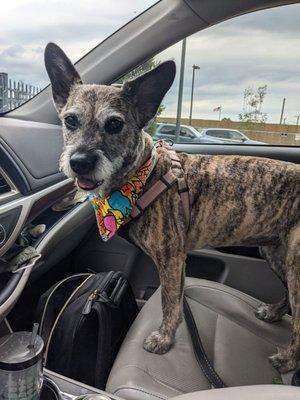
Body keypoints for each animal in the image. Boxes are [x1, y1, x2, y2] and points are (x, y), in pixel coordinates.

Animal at [44, 43, 300, 372]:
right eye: (70, 120)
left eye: (115, 124)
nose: (80, 162)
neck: (144, 176)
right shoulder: (179, 262)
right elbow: (177, 301)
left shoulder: (171, 259)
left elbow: (168, 301)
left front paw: (164, 339)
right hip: (275, 253)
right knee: (289, 297)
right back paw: (274, 313)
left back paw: (288, 360)